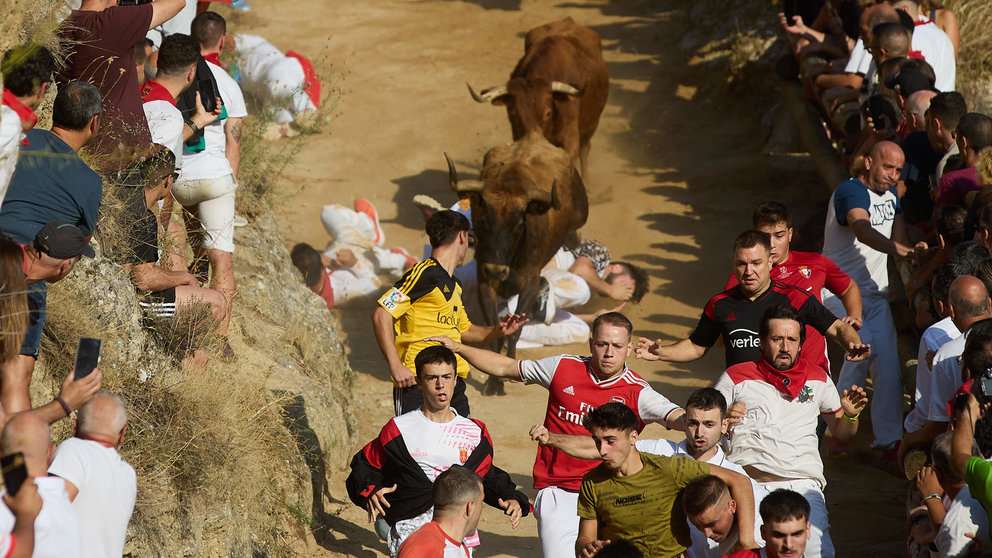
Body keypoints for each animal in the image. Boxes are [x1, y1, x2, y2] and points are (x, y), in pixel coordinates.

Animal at [448, 132, 588, 394]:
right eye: (483, 219)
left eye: (519, 223)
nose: (496, 270)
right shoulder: (485, 282)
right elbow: (495, 328)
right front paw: (494, 381)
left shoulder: (529, 283)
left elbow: (516, 331)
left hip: (580, 214)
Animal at [468, 17, 608, 175]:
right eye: (514, 113)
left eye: (548, 113)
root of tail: (568, 20)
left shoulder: (570, 139)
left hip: (590, 125)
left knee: (585, 149)